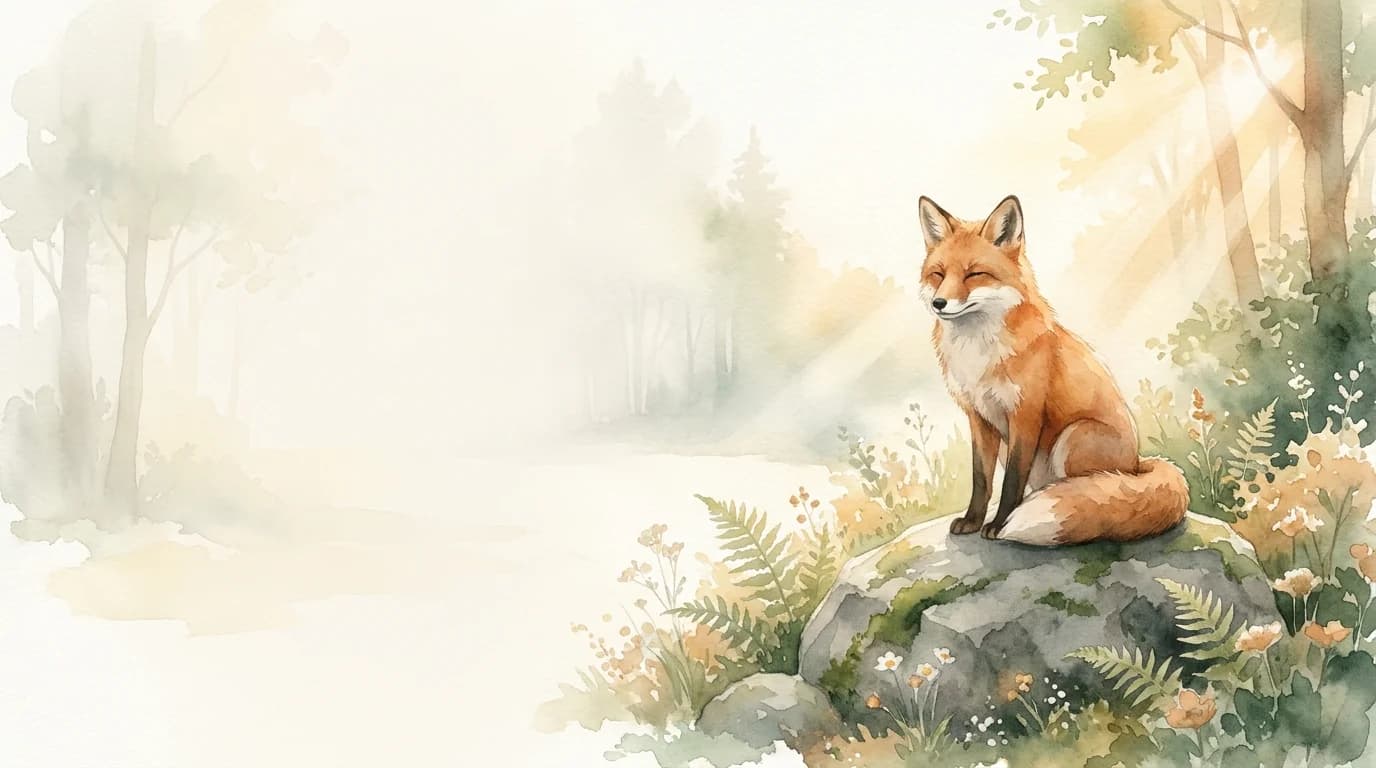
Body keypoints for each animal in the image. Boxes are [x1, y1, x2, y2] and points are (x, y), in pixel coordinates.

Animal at [916, 194, 1189, 546]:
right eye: (938, 274)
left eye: (974, 274)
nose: (939, 303)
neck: (977, 352)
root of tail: (1137, 465)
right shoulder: (979, 418)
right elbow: (981, 480)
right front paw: (973, 521)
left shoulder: (1026, 414)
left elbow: (1011, 482)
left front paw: (999, 525)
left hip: (1074, 437)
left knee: (1091, 495)